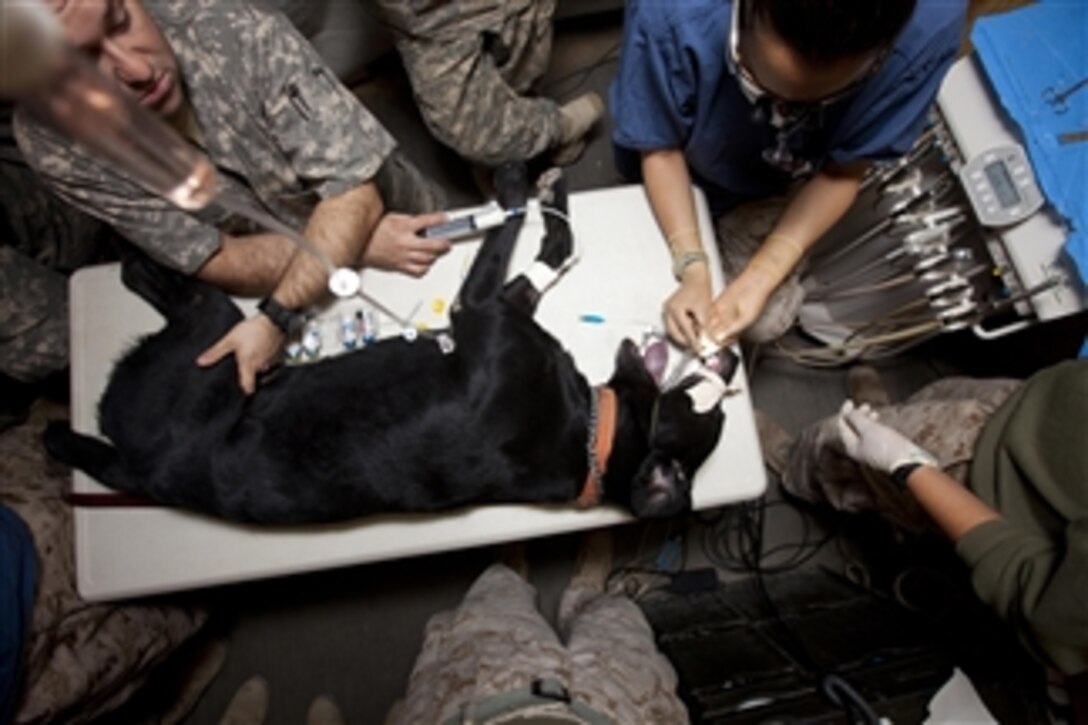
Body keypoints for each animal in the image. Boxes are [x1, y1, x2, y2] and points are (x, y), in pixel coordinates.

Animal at [44, 166, 739, 522]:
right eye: (712, 403)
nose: (731, 356)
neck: (591, 432)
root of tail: (146, 466)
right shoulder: (508, 307)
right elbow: (552, 249)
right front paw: (549, 199)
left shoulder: (477, 309)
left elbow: (503, 230)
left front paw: (514, 189)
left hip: (212, 344)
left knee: (185, 297)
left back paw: (136, 267)